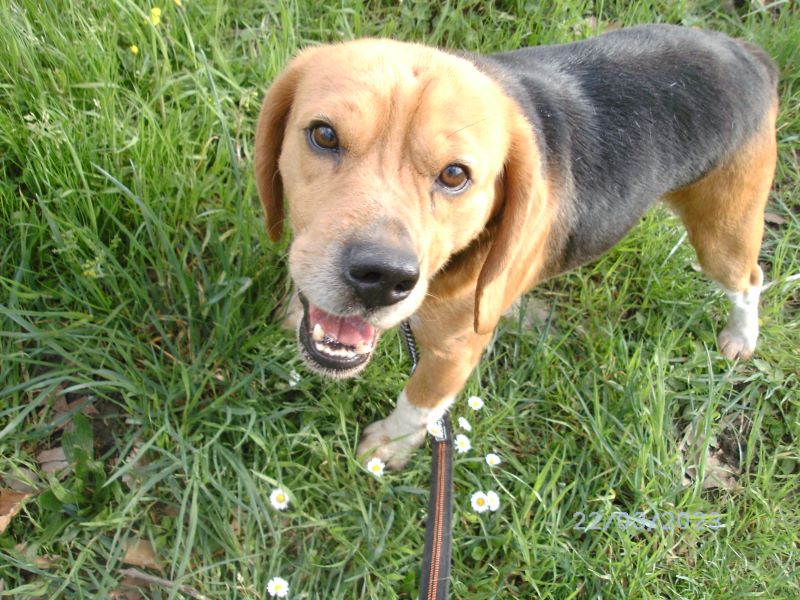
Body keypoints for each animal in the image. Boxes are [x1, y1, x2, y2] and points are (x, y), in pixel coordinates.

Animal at [254, 25, 778, 470]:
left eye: (455, 175)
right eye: (324, 134)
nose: (383, 278)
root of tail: (745, 55)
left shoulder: (454, 353)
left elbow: (418, 405)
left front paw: (391, 446)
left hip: (722, 236)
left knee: (751, 280)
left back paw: (741, 337)